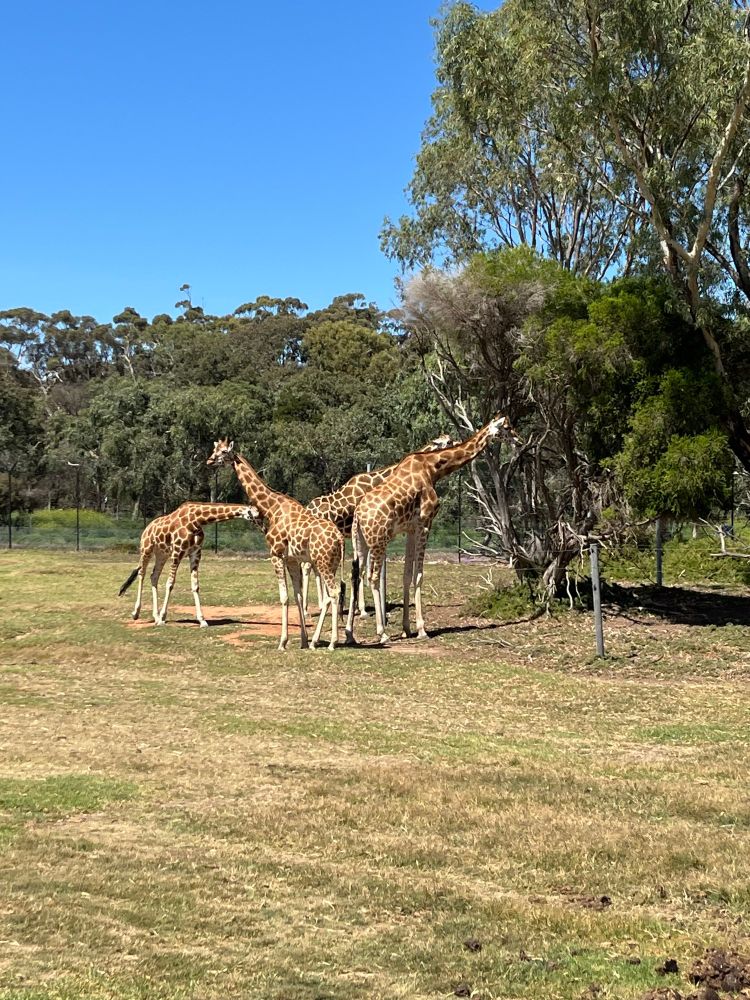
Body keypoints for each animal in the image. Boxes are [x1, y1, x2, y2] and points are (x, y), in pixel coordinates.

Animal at [118, 502, 259, 627]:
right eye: (255, 515)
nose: (261, 525)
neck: (197, 520)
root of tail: (147, 528)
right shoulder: (177, 552)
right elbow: (170, 584)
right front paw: (163, 617)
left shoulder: (195, 554)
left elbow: (195, 586)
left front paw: (202, 620)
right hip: (146, 549)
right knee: (142, 573)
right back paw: (136, 613)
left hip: (162, 554)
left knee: (154, 576)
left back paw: (155, 616)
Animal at [206, 439, 345, 651]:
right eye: (214, 449)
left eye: (223, 452)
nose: (209, 461)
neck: (271, 507)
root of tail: (339, 538)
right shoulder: (291, 560)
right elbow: (297, 595)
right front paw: (303, 640)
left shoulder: (275, 555)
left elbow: (284, 597)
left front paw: (283, 642)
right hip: (331, 563)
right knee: (331, 594)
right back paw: (316, 641)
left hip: (322, 563)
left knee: (335, 592)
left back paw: (332, 643)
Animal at [302, 433, 457, 616]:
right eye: (448, 442)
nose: (457, 444)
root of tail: (308, 509)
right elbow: (363, 570)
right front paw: (363, 610)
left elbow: (362, 569)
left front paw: (360, 608)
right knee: (308, 566)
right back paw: (308, 609)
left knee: (312, 567)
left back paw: (321, 605)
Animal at [345, 415, 518, 645]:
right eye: (507, 427)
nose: (519, 441)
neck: (432, 469)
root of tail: (358, 516)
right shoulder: (425, 523)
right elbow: (418, 575)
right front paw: (421, 629)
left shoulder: (411, 528)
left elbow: (407, 575)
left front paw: (406, 629)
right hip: (378, 540)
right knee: (372, 577)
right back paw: (382, 634)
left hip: (360, 542)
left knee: (355, 575)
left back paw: (349, 634)